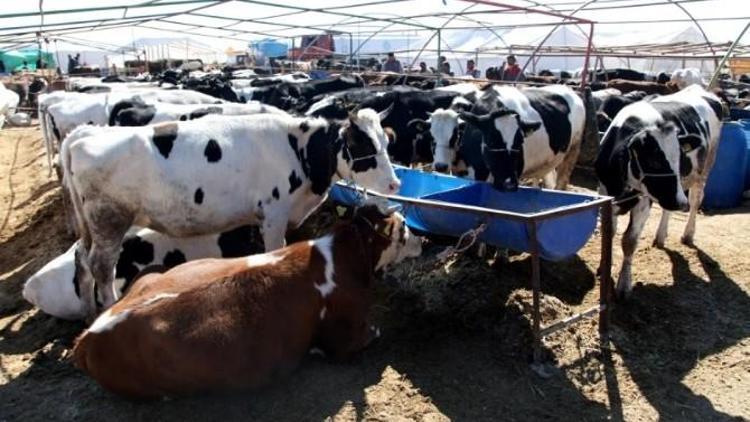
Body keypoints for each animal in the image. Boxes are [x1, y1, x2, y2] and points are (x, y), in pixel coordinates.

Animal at [61, 109, 402, 316]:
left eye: (387, 142)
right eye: (362, 146)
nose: (395, 183)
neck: (299, 149)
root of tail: (84, 135)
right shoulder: (274, 213)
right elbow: (274, 251)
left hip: (90, 225)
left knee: (81, 259)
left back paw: (89, 312)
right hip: (109, 220)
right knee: (101, 266)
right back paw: (108, 307)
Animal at [73, 207, 424, 398]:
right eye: (405, 229)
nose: (424, 240)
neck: (343, 254)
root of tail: (88, 336)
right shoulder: (345, 338)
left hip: (153, 273)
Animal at [424, 85, 588, 190]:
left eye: (521, 141)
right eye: (432, 136)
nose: (440, 166)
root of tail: (569, 90)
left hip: (573, 151)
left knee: (561, 182)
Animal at [596, 84, 724, 298]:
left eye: (680, 158)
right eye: (654, 161)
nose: (680, 202)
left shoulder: (644, 201)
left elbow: (629, 240)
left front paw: (624, 285)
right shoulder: (606, 193)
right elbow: (609, 232)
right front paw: (603, 268)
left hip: (704, 168)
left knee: (696, 200)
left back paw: (688, 234)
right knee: (667, 209)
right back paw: (661, 236)